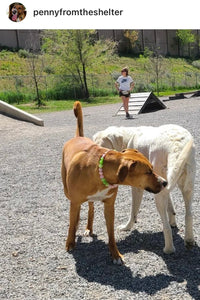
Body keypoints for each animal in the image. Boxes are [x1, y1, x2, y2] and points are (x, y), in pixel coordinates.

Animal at [61, 101, 167, 264]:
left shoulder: (110, 205)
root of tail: (78, 137)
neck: (101, 173)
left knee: (90, 208)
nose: (164, 182)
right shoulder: (75, 200)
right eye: (148, 172)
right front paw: (70, 243)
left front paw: (115, 254)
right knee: (76, 211)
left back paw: (88, 227)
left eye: (152, 168)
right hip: (68, 191)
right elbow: (72, 223)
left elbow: (111, 233)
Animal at [93, 124, 195, 253]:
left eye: (103, 150)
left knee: (165, 226)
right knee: (189, 214)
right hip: (187, 187)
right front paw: (173, 221)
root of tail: (176, 145)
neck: (128, 137)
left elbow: (133, 211)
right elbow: (170, 205)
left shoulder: (138, 187)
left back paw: (168, 249)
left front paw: (127, 227)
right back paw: (189, 240)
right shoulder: (164, 184)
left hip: (159, 193)